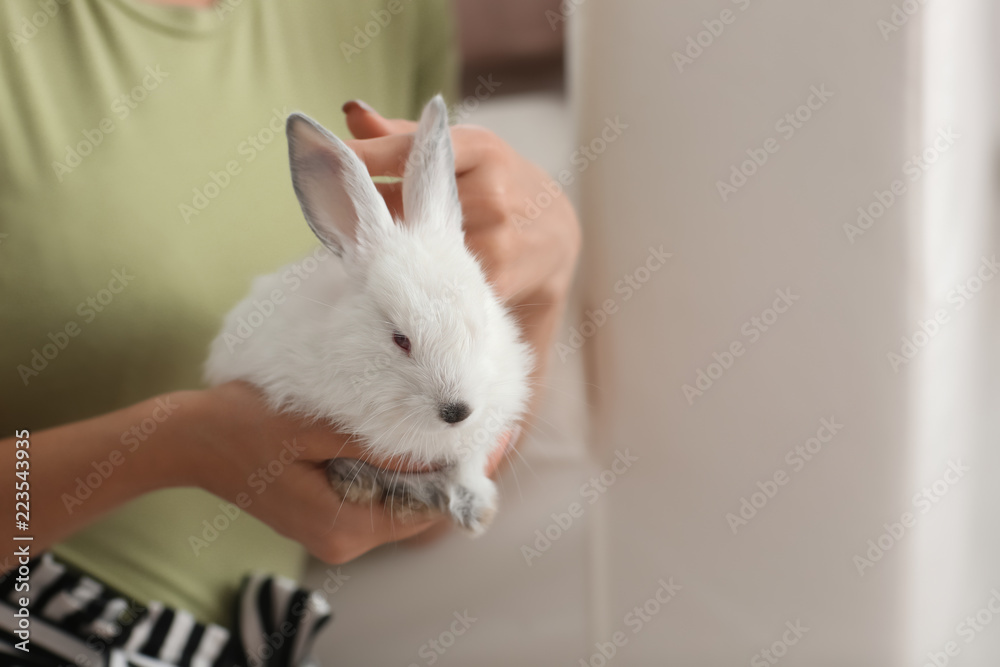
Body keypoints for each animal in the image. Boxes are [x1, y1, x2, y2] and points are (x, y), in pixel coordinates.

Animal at [203, 96, 532, 536]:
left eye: (479, 327)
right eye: (400, 340)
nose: (457, 412)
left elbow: (467, 467)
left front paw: (475, 511)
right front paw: (360, 486)